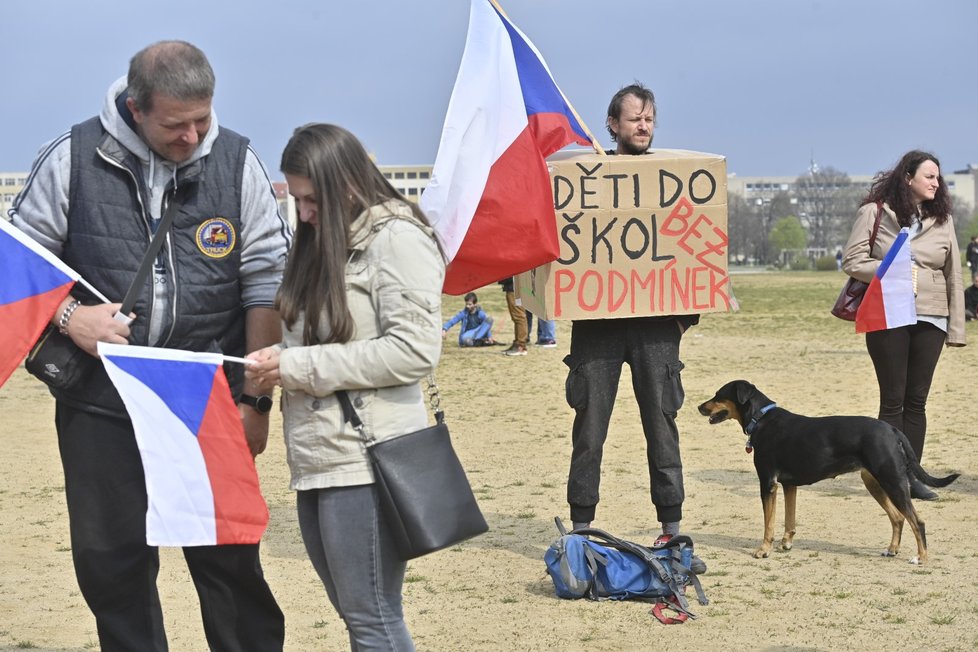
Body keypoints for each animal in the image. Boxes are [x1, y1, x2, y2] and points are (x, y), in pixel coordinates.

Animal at [696, 380, 956, 564]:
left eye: (719, 395)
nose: (699, 406)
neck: (762, 419)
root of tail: (892, 430)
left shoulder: (768, 483)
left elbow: (768, 523)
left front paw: (763, 550)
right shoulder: (789, 484)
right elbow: (789, 518)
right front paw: (786, 543)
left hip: (892, 480)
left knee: (917, 521)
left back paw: (921, 557)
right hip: (875, 482)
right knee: (898, 517)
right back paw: (892, 550)